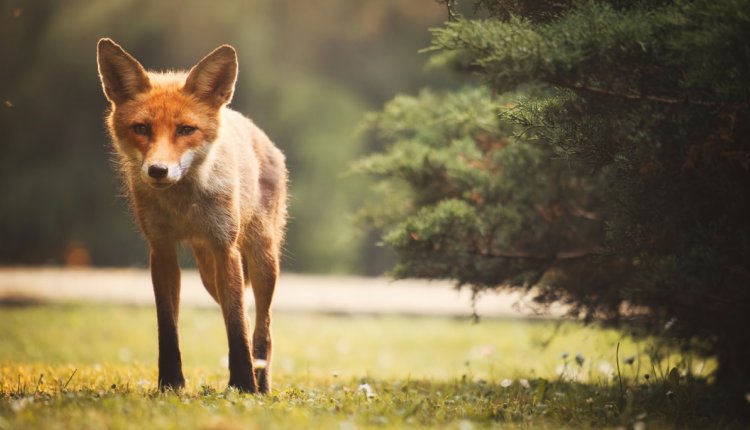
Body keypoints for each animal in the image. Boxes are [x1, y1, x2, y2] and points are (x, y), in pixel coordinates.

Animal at [96, 38, 288, 394]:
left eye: (186, 129)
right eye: (141, 128)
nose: (158, 170)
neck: (183, 206)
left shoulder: (225, 248)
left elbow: (236, 325)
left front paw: (243, 384)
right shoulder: (161, 250)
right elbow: (168, 327)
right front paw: (171, 383)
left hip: (261, 260)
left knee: (262, 327)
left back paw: (262, 383)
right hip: (208, 275)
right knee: (248, 315)